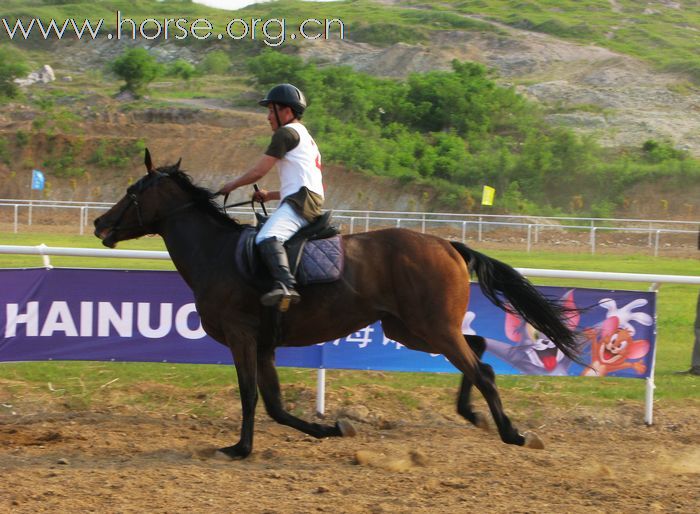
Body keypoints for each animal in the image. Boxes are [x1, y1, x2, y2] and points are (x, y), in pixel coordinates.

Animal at [95, 150, 584, 458]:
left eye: (132, 191)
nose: (100, 224)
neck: (217, 252)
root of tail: (447, 244)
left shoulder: (241, 336)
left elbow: (250, 395)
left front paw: (241, 448)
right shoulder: (264, 343)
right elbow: (274, 405)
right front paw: (331, 428)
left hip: (431, 327)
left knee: (480, 368)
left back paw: (512, 433)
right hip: (411, 329)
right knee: (479, 349)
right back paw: (474, 415)